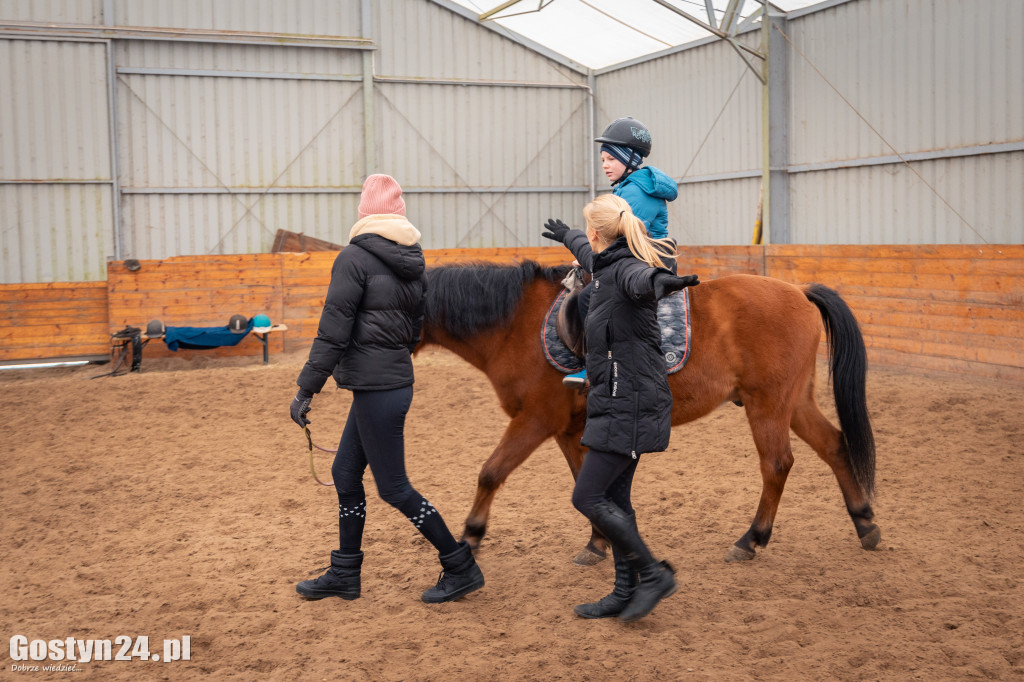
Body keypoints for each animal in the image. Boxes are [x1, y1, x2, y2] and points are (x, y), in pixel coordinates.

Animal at [417, 260, 880, 561]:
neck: (517, 324)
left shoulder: (535, 419)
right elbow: (585, 485)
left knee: (777, 464)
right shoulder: (568, 429)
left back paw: (751, 539)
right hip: (794, 402)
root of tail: (798, 291)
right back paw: (865, 524)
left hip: (768, 404)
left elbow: (491, 472)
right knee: (834, 445)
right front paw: (599, 542)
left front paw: (471, 535)